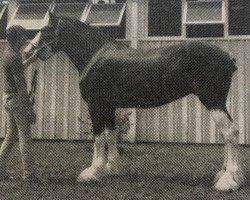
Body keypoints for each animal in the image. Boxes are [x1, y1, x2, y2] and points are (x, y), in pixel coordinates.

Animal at [23, 11, 244, 192]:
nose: (27, 51)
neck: (94, 54)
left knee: (230, 132)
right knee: (227, 134)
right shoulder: (108, 105)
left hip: (213, 100)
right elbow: (111, 134)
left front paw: (93, 172)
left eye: (44, 29)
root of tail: (228, 57)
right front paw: (113, 168)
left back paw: (229, 180)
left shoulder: (96, 104)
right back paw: (225, 175)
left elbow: (98, 137)